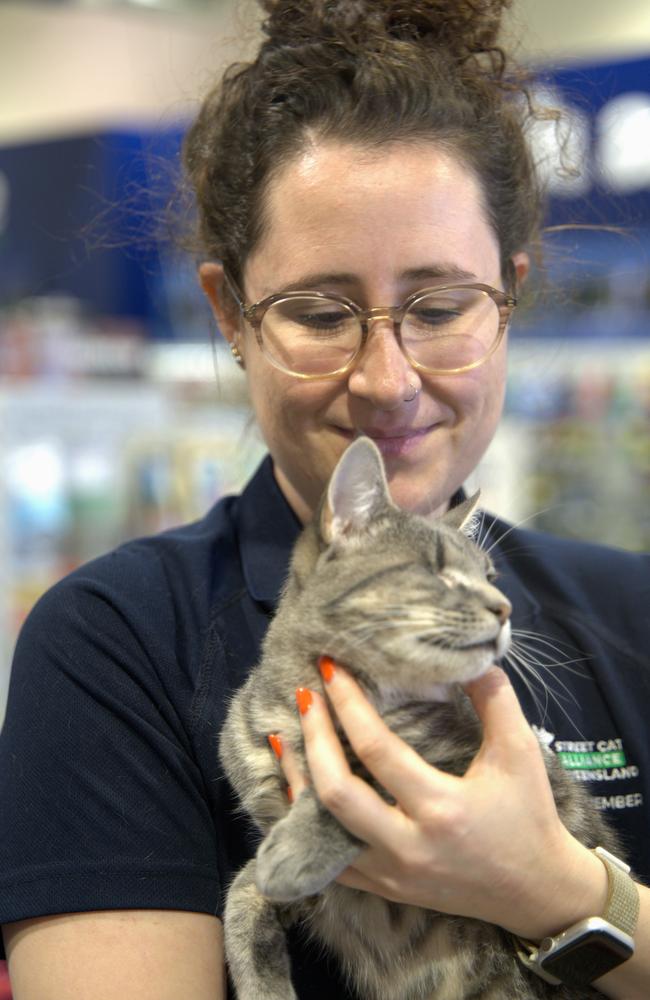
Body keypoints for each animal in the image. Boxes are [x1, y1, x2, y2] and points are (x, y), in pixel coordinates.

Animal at [218, 438, 616, 1000]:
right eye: (439, 570)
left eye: (491, 577)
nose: (505, 607)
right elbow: (241, 897)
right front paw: (260, 982)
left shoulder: (456, 770)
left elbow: (364, 783)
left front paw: (300, 844)